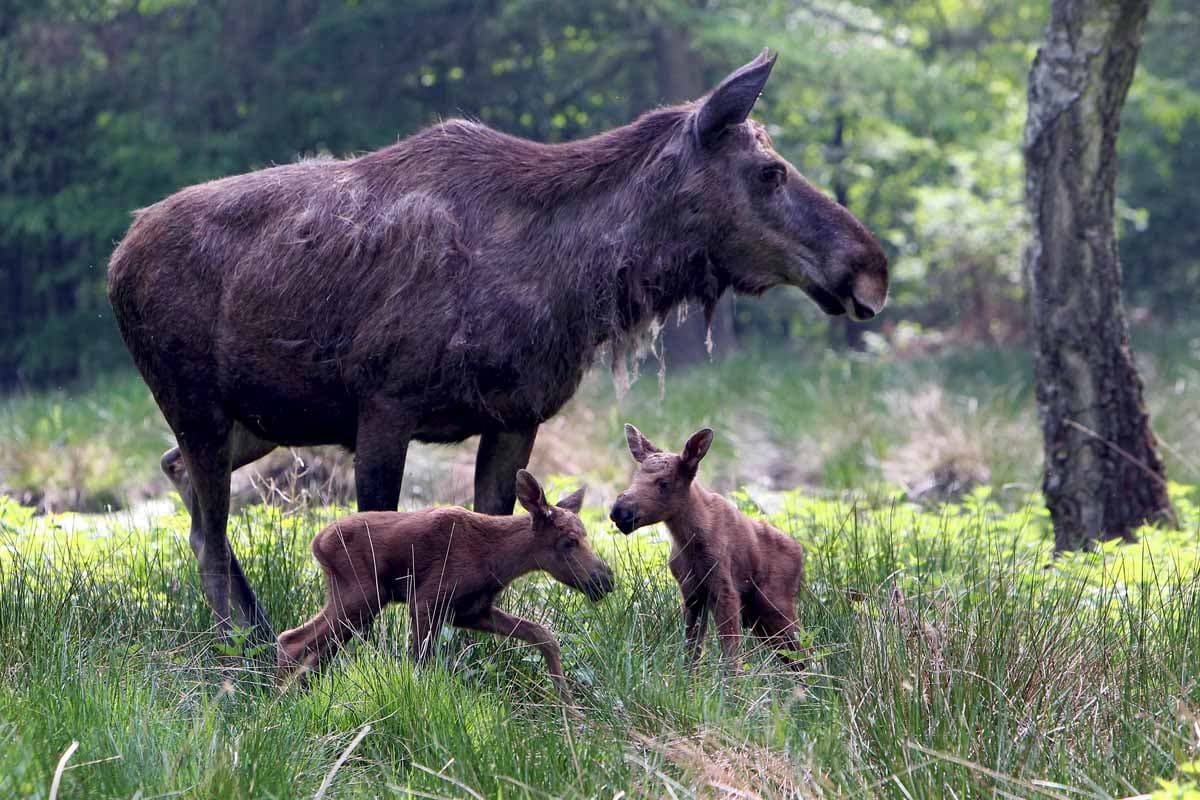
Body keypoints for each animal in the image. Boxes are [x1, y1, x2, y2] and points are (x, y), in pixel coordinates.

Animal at [108, 48, 888, 638]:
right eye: (770, 171)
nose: (871, 266)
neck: (571, 283)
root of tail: (117, 259)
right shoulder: (384, 406)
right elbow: (386, 535)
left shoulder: (515, 417)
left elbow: (492, 534)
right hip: (198, 404)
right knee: (210, 532)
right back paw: (236, 643)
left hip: (258, 421)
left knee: (178, 478)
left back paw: (256, 625)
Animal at [278, 472, 609, 705]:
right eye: (569, 541)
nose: (605, 579)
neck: (496, 560)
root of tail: (317, 542)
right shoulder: (427, 601)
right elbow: (421, 666)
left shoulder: (472, 611)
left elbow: (543, 634)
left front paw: (571, 711)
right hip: (361, 595)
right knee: (291, 641)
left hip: (355, 603)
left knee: (311, 653)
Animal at [609, 424, 806, 671]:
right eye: (635, 477)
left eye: (664, 483)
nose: (619, 511)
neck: (688, 540)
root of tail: (801, 555)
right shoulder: (692, 593)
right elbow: (692, 648)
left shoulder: (725, 589)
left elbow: (729, 651)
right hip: (759, 618)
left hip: (776, 605)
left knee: (807, 653)